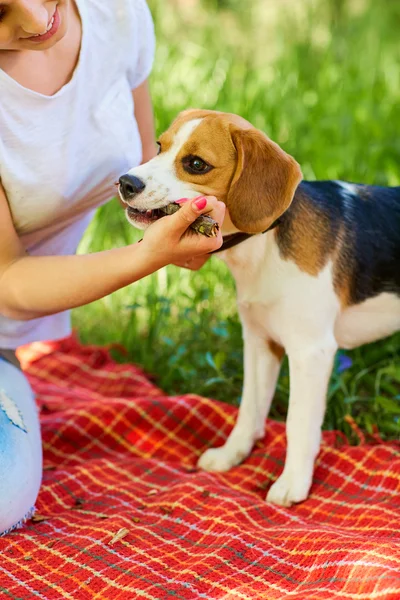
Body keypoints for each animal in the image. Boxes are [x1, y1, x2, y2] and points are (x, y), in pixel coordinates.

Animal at [118, 109, 400, 506]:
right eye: (160, 146)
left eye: (196, 164)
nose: (125, 182)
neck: (264, 244)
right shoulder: (258, 341)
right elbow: (249, 409)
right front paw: (232, 455)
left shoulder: (310, 352)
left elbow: (298, 422)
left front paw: (293, 483)